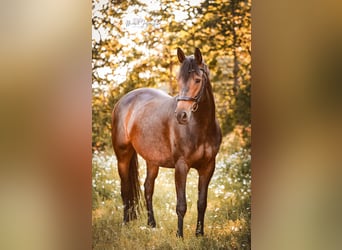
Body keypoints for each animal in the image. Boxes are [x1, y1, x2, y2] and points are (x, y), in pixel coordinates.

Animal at [110, 47, 222, 237]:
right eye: (178, 80)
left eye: (198, 80)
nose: (181, 115)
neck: (201, 127)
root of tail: (123, 101)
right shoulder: (181, 166)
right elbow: (181, 205)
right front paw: (179, 235)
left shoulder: (208, 167)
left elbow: (202, 203)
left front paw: (199, 234)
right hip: (123, 156)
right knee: (125, 190)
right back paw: (126, 223)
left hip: (152, 161)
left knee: (148, 188)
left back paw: (151, 224)